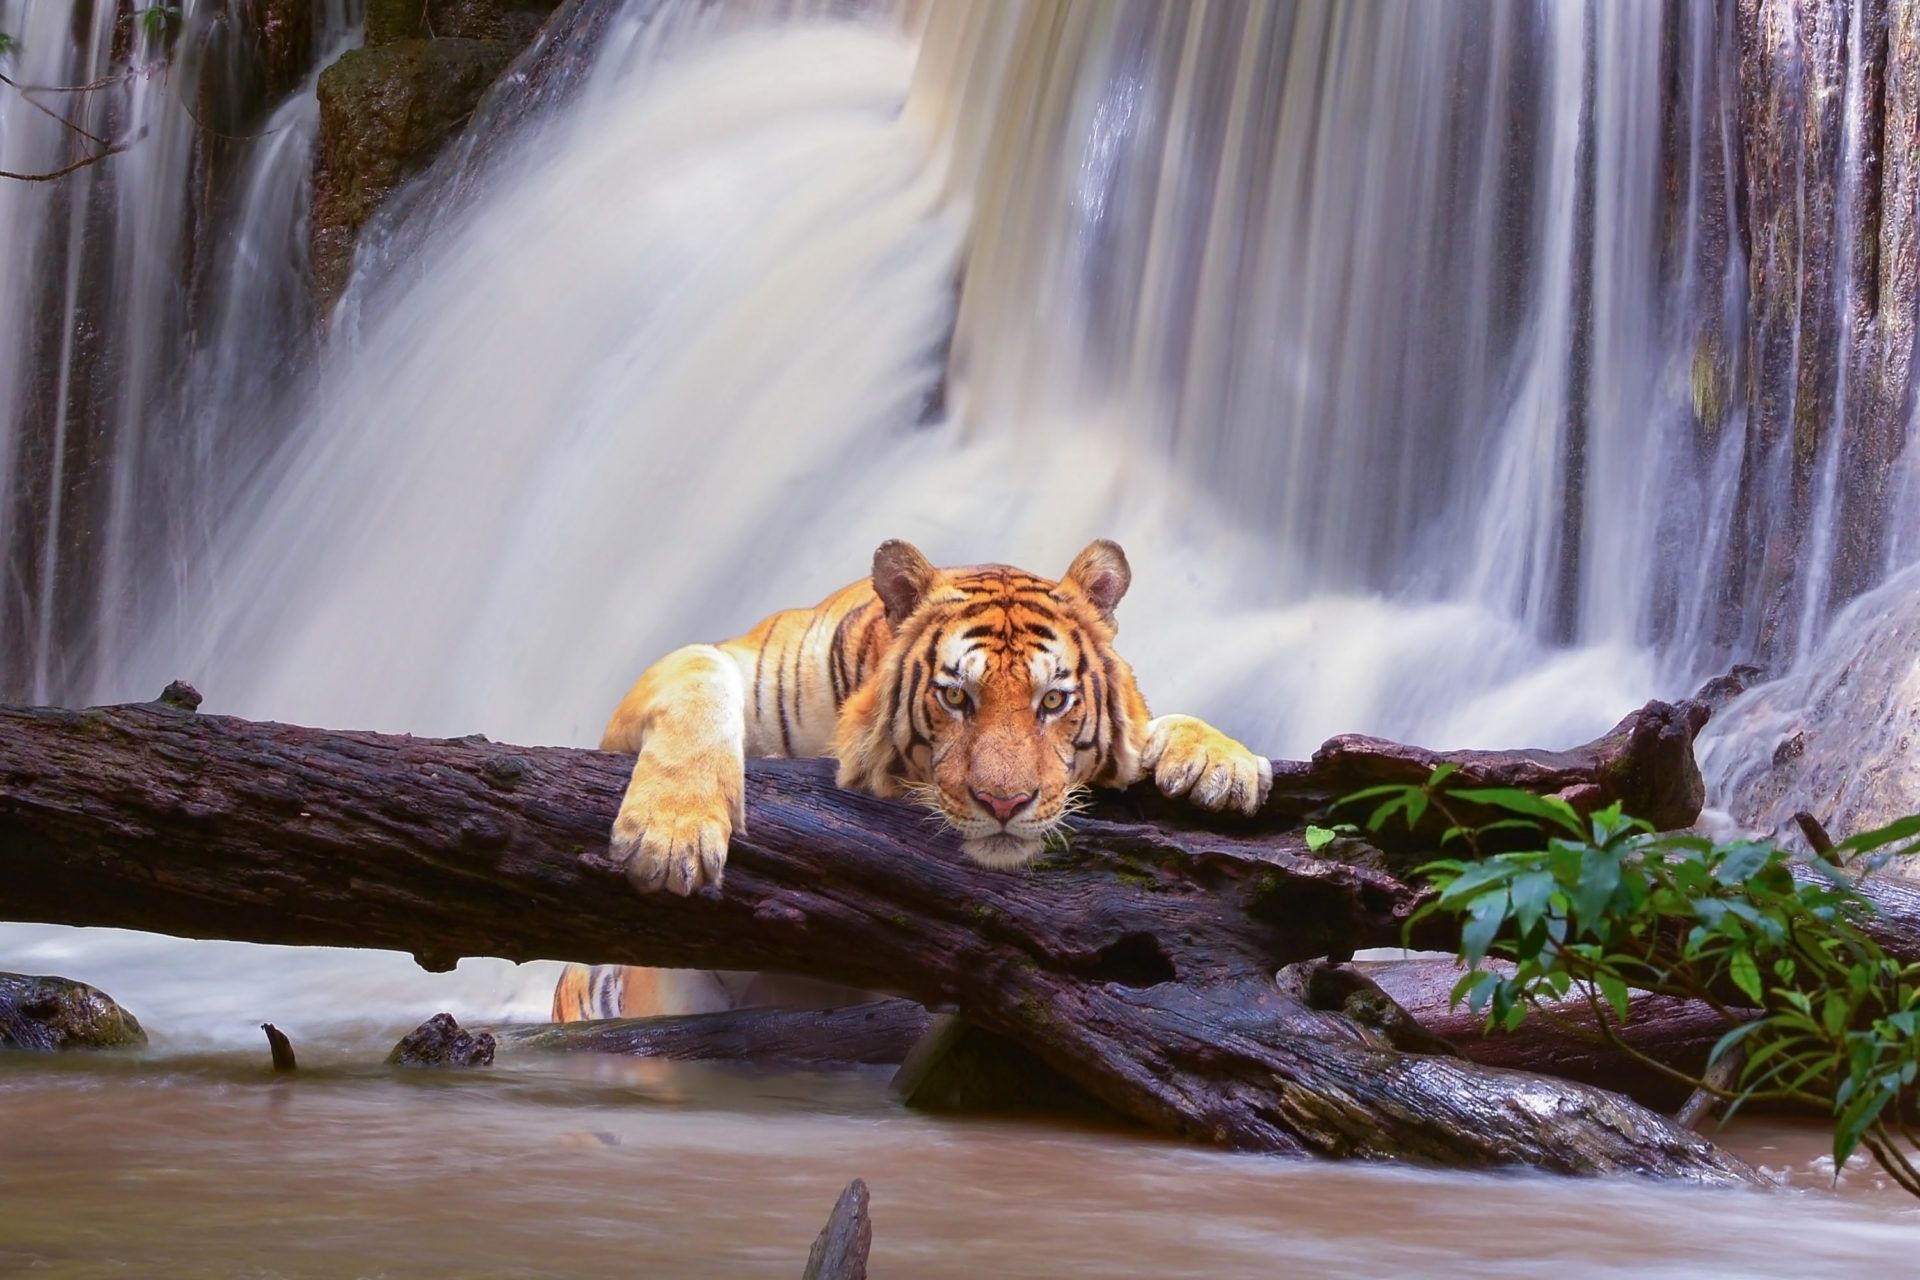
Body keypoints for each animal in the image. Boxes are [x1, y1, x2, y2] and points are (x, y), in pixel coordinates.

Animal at [554, 538, 1271, 1020]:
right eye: (956, 697)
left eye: (1052, 701)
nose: (1005, 802)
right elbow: (697, 673)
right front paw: (669, 837)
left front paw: (1223, 764)